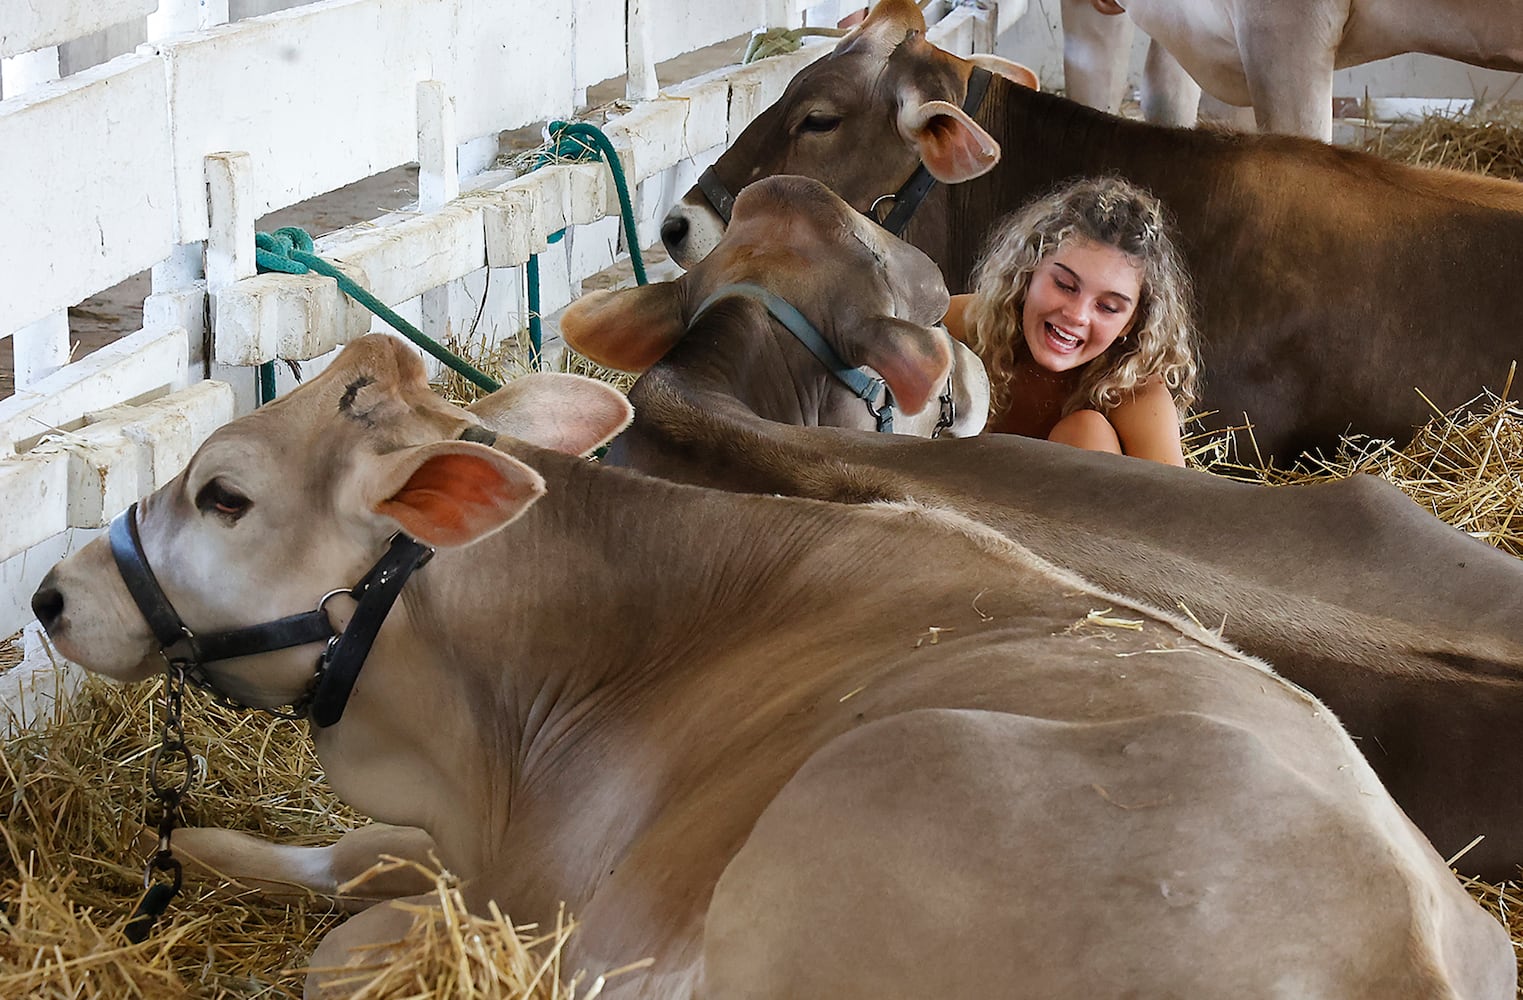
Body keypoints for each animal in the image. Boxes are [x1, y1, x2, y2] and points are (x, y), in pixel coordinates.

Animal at [29, 331, 1516, 992]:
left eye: (223, 495)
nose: (48, 593)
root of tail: (1407, 948)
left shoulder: (572, 912)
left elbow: (358, 929)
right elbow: (355, 854)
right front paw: (212, 850)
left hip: (886, 781)